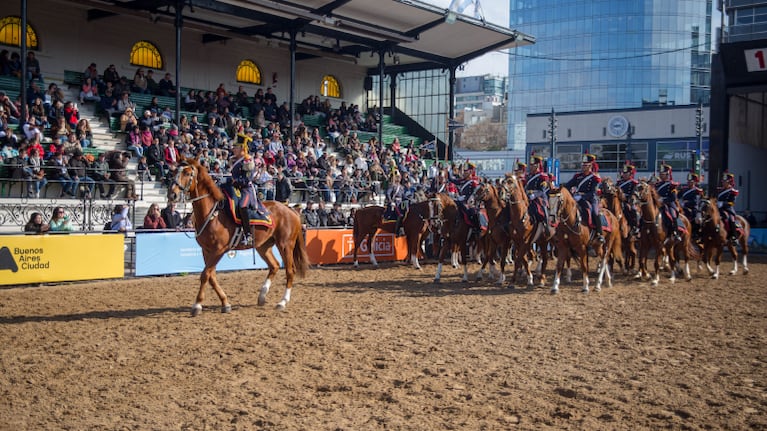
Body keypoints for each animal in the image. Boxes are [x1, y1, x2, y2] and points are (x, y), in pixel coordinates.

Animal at [168, 157, 308, 316]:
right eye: (174, 171)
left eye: (187, 173)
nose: (172, 194)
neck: (212, 214)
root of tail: (291, 210)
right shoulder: (207, 250)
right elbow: (211, 276)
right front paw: (225, 303)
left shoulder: (219, 250)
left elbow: (205, 275)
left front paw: (197, 305)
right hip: (263, 246)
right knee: (274, 266)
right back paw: (262, 296)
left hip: (285, 245)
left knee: (290, 271)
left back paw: (282, 302)